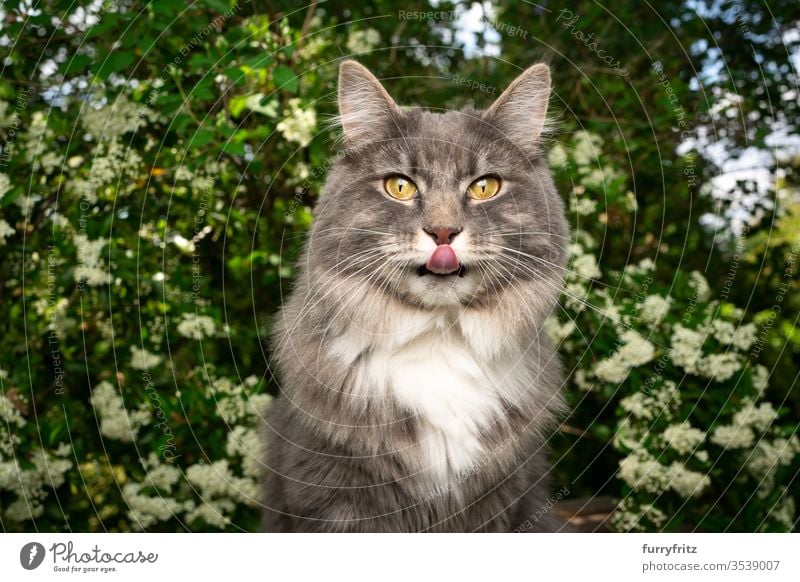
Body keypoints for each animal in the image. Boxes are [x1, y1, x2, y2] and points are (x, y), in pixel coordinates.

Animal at [262, 60, 568, 532]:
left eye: (484, 187)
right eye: (400, 187)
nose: (443, 232)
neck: (439, 339)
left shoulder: (501, 501)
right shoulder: (334, 497)